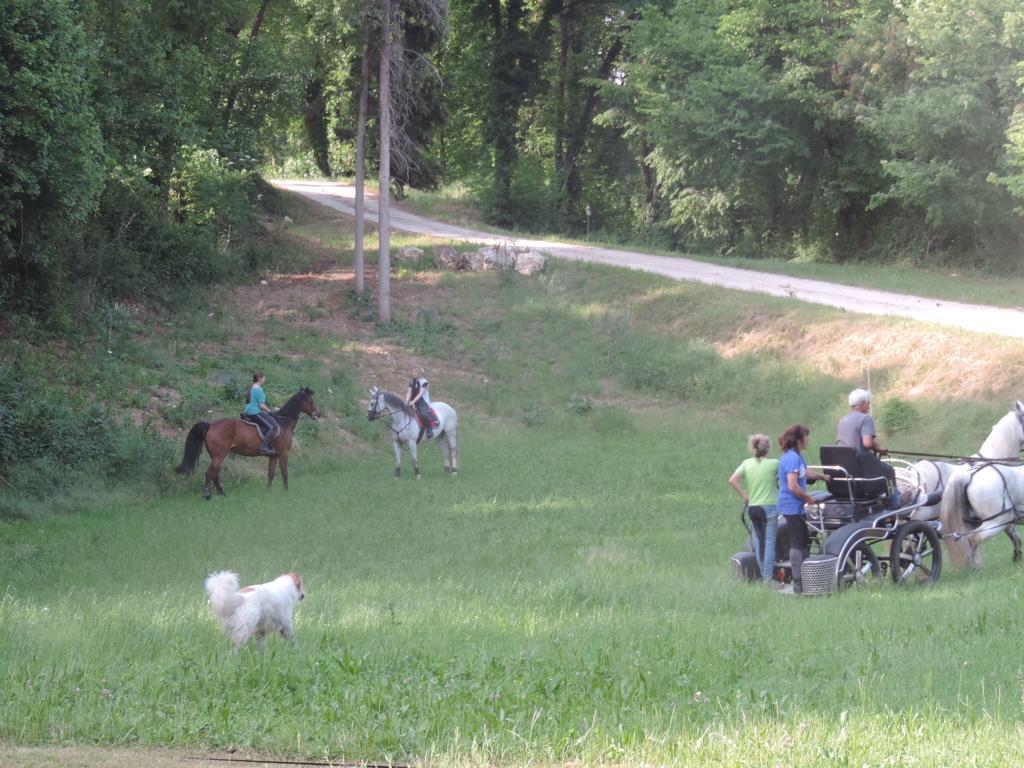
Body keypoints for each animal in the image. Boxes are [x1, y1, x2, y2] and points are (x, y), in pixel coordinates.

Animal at [176, 387, 319, 501]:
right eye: (310, 401)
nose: (319, 414)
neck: (284, 423)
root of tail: (210, 425)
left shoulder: (274, 456)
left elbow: (271, 473)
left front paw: (268, 491)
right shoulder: (283, 453)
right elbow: (284, 473)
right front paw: (286, 492)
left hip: (216, 456)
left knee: (215, 474)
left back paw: (222, 494)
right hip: (219, 456)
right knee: (209, 474)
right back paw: (207, 496)